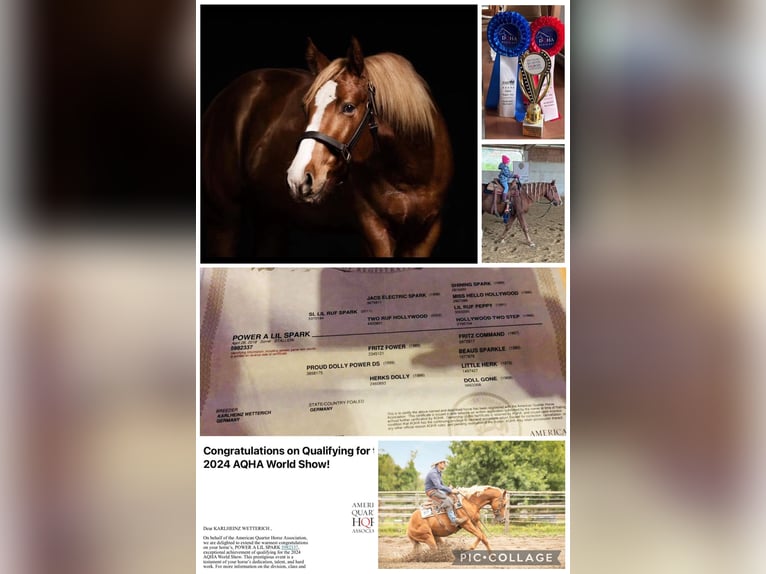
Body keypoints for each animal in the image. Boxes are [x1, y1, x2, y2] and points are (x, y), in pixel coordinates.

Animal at [202, 36, 453, 259]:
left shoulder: (426, 234)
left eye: (349, 107)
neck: (409, 174)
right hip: (223, 219)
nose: (298, 178)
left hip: (271, 219)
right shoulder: (374, 232)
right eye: (305, 107)